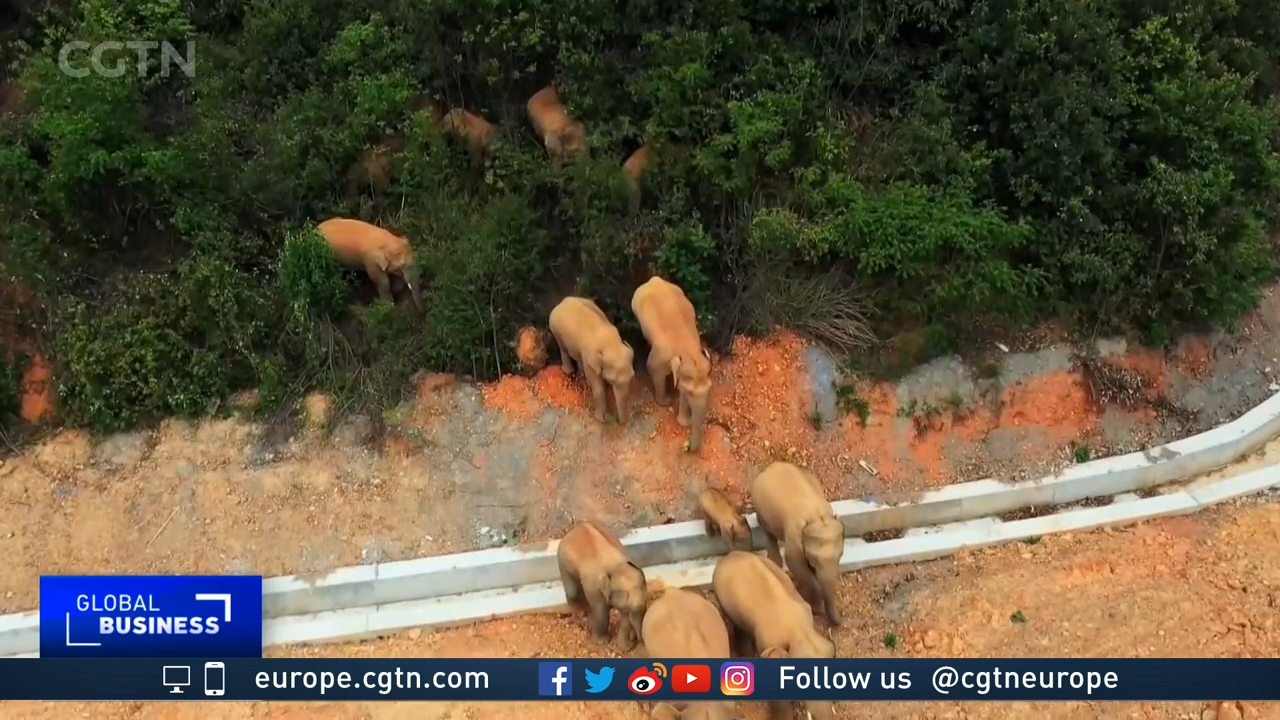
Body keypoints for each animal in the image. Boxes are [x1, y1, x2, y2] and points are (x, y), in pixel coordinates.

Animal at [557, 520, 648, 651]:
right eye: (625, 595)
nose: (636, 641)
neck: (616, 566)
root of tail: (579, 525)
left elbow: (624, 617)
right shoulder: (594, 588)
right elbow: (601, 613)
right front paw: (603, 641)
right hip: (563, 559)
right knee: (573, 592)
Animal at [631, 276, 713, 451]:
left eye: (709, 388)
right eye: (691, 393)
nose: (687, 447)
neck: (689, 350)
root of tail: (655, 279)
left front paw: (683, 420)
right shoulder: (659, 356)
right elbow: (654, 370)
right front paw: (665, 401)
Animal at [750, 462, 846, 627]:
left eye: (841, 555)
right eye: (813, 559)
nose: (840, 620)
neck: (818, 517)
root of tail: (773, 465)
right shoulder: (794, 535)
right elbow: (796, 564)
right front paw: (817, 609)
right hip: (760, 506)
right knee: (767, 530)